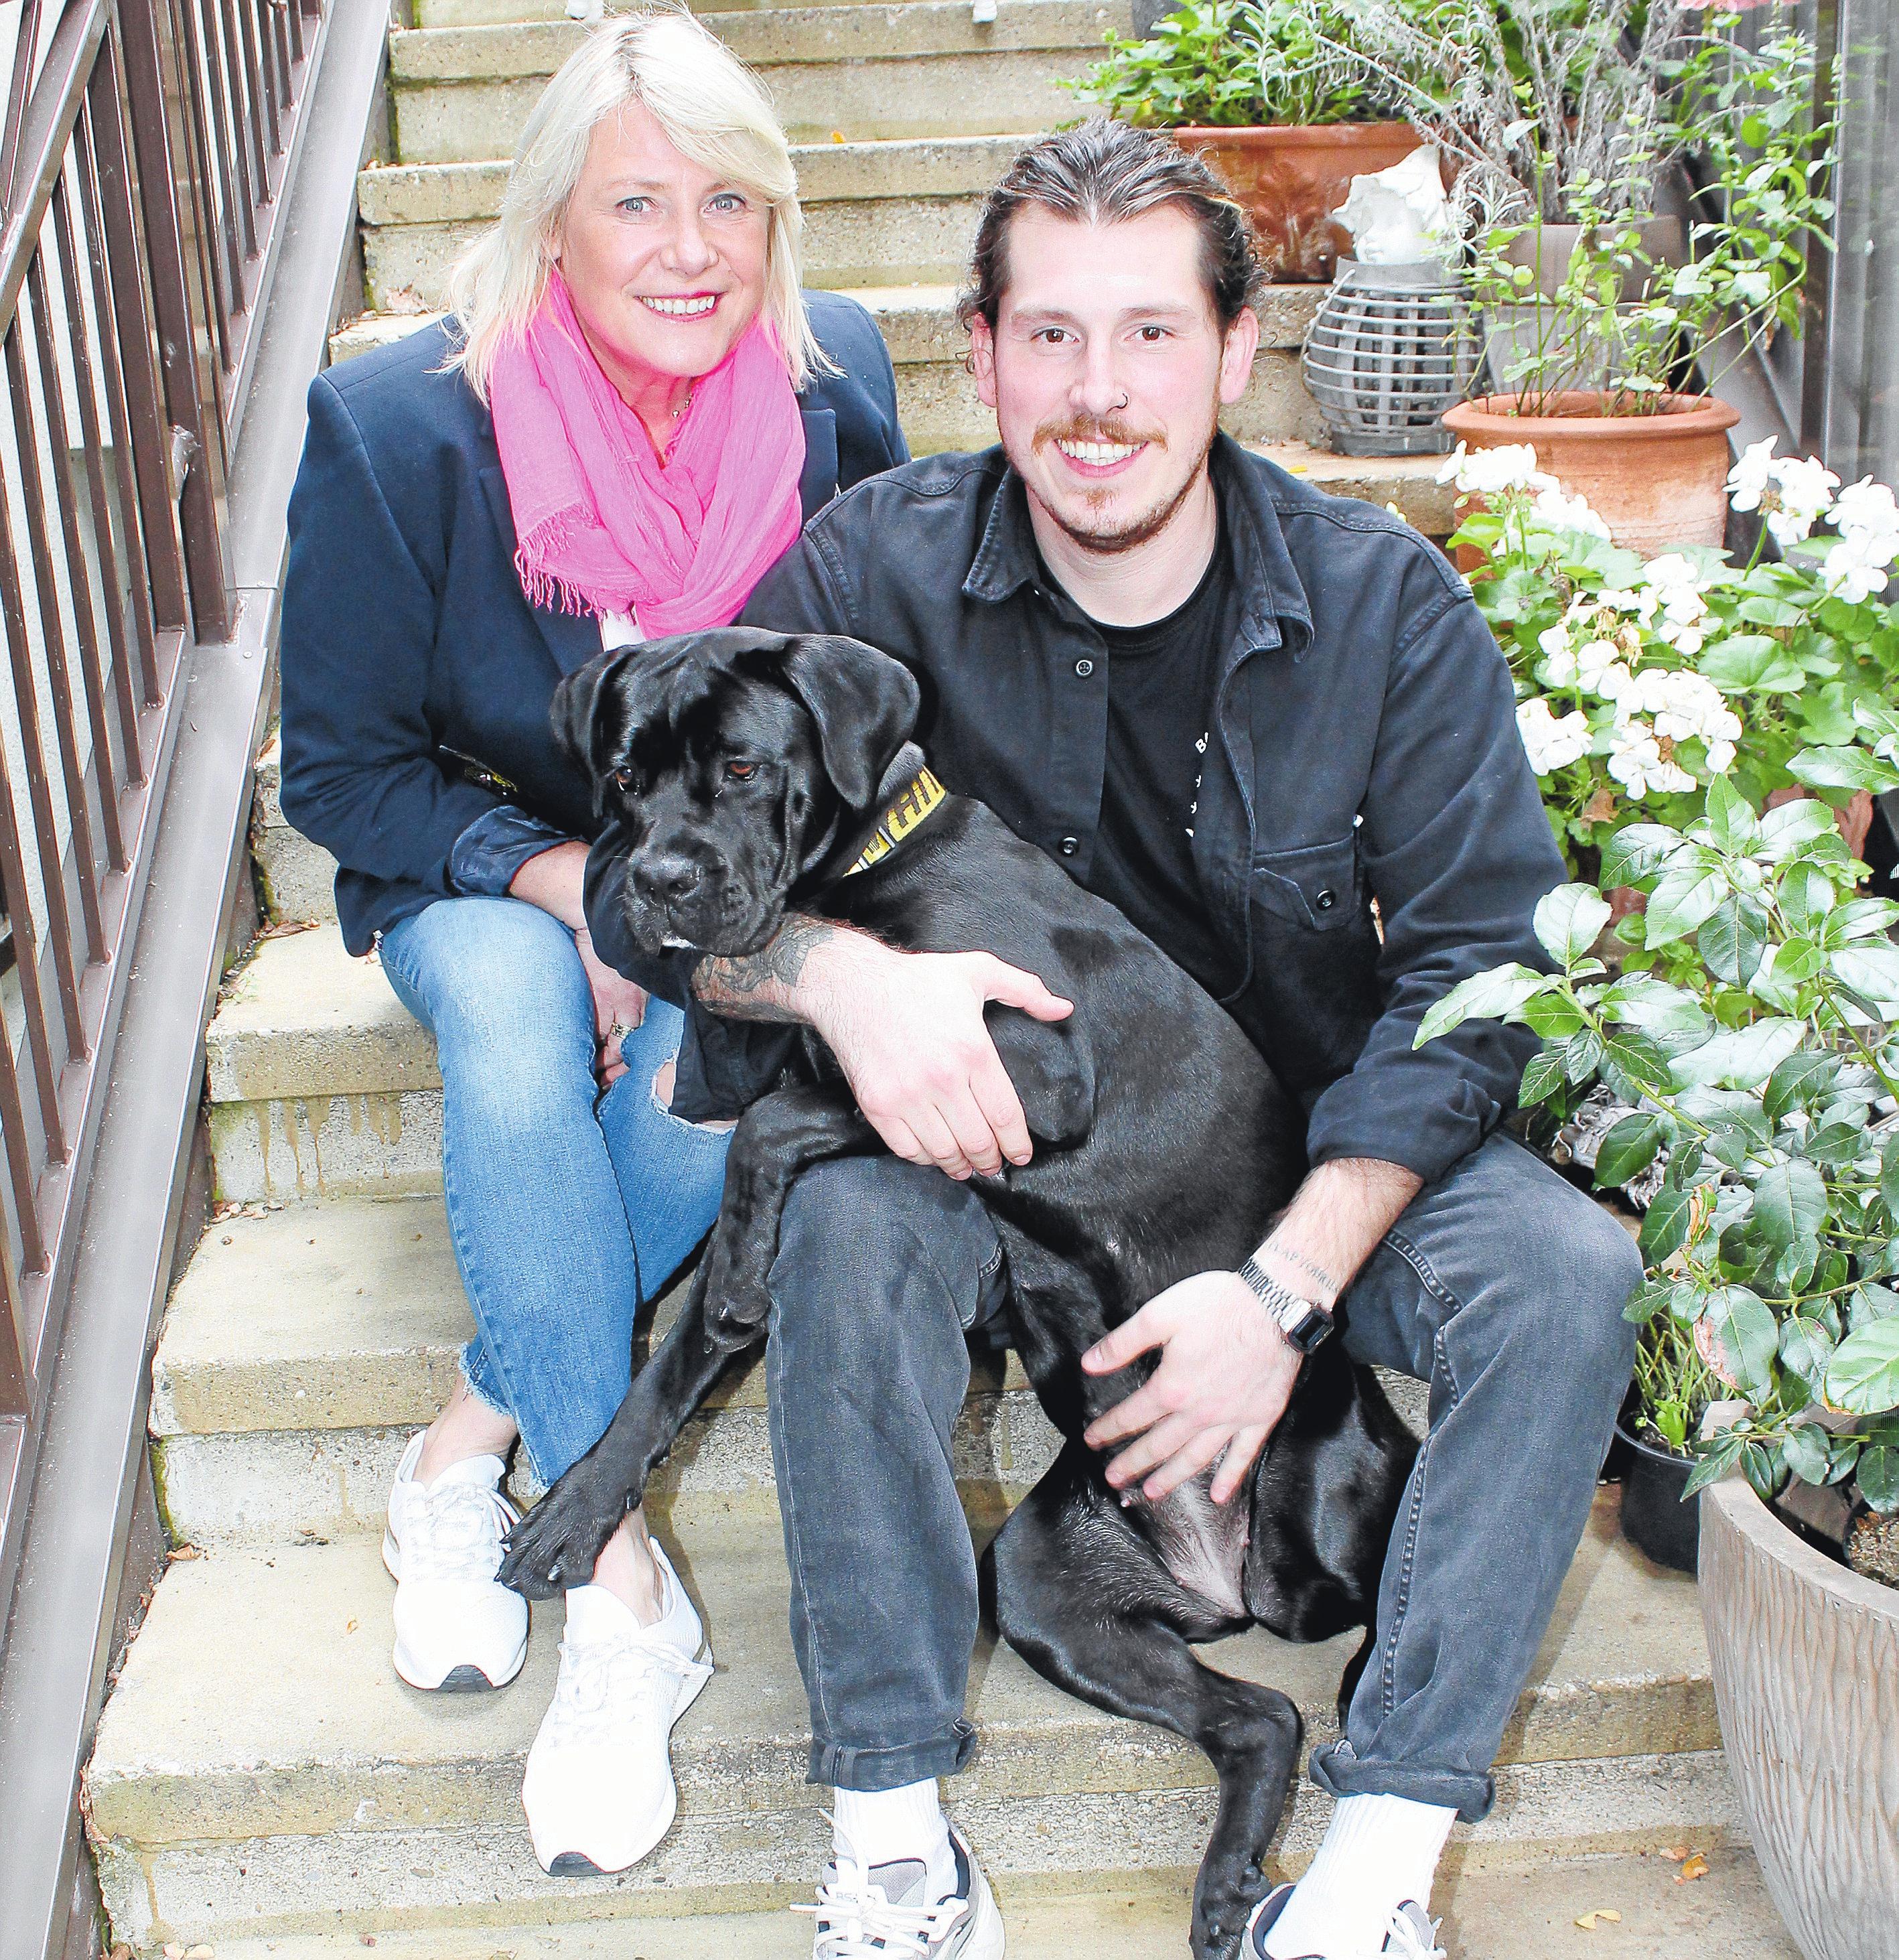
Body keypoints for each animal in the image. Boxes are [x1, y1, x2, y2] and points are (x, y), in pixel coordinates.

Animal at [496, 631, 1419, 1960]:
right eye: (623, 777)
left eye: (741, 765)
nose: (659, 882)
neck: (861, 880)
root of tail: (1221, 1578)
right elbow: (666, 1367)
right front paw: (577, 1504)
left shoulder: (1013, 1069)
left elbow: (776, 1123)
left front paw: (737, 1265)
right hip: (1041, 1585)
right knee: (1262, 1719)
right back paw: (1225, 1881)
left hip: (1326, 1529)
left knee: (1390, 1588)